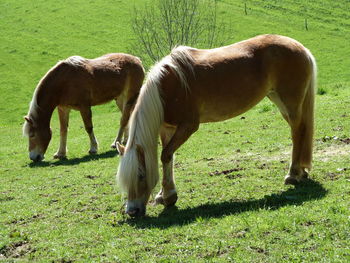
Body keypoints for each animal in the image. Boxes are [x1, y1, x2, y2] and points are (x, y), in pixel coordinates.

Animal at [116, 34, 316, 218]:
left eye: (140, 175)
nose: (132, 211)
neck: (167, 87)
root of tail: (301, 48)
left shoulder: (188, 126)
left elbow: (165, 155)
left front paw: (169, 196)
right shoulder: (167, 128)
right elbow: (168, 158)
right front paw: (163, 195)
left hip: (290, 103)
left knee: (298, 132)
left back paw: (292, 174)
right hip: (279, 100)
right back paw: (302, 172)